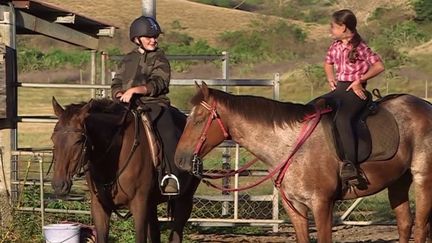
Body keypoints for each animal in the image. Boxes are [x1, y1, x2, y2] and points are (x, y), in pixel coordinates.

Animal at [51, 98, 200, 242]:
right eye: (53, 139)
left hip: (184, 200)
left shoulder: (139, 206)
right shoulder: (99, 207)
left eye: (79, 141)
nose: (59, 185)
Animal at [174, 82, 432, 242]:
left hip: (422, 179)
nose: (180, 159)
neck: (291, 146)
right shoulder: (295, 207)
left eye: (198, 119)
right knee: (405, 224)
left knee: (420, 227)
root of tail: (426, 105)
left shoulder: (322, 204)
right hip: (398, 181)